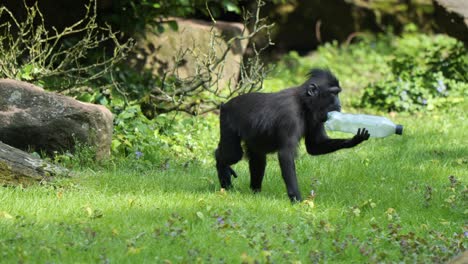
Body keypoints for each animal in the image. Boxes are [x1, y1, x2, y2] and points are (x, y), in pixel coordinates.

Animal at [215, 69, 370, 201]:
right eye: (333, 93)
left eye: (337, 93)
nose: (340, 105)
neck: (303, 103)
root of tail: (225, 105)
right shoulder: (290, 116)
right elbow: (285, 154)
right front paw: (297, 199)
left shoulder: (317, 117)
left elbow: (314, 147)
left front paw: (354, 140)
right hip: (227, 122)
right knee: (232, 154)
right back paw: (222, 169)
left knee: (258, 157)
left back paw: (255, 192)